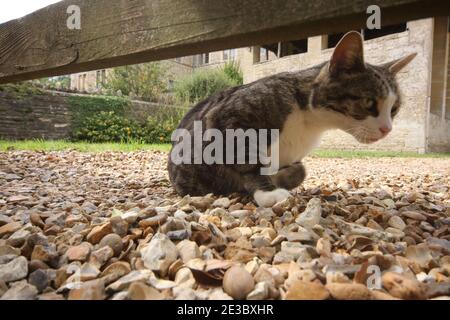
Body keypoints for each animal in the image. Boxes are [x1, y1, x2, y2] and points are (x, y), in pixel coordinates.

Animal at [167, 31, 416, 208]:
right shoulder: (228, 118)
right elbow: (248, 158)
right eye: (368, 102)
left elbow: (300, 171)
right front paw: (267, 191)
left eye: (394, 109)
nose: (387, 129)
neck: (309, 122)